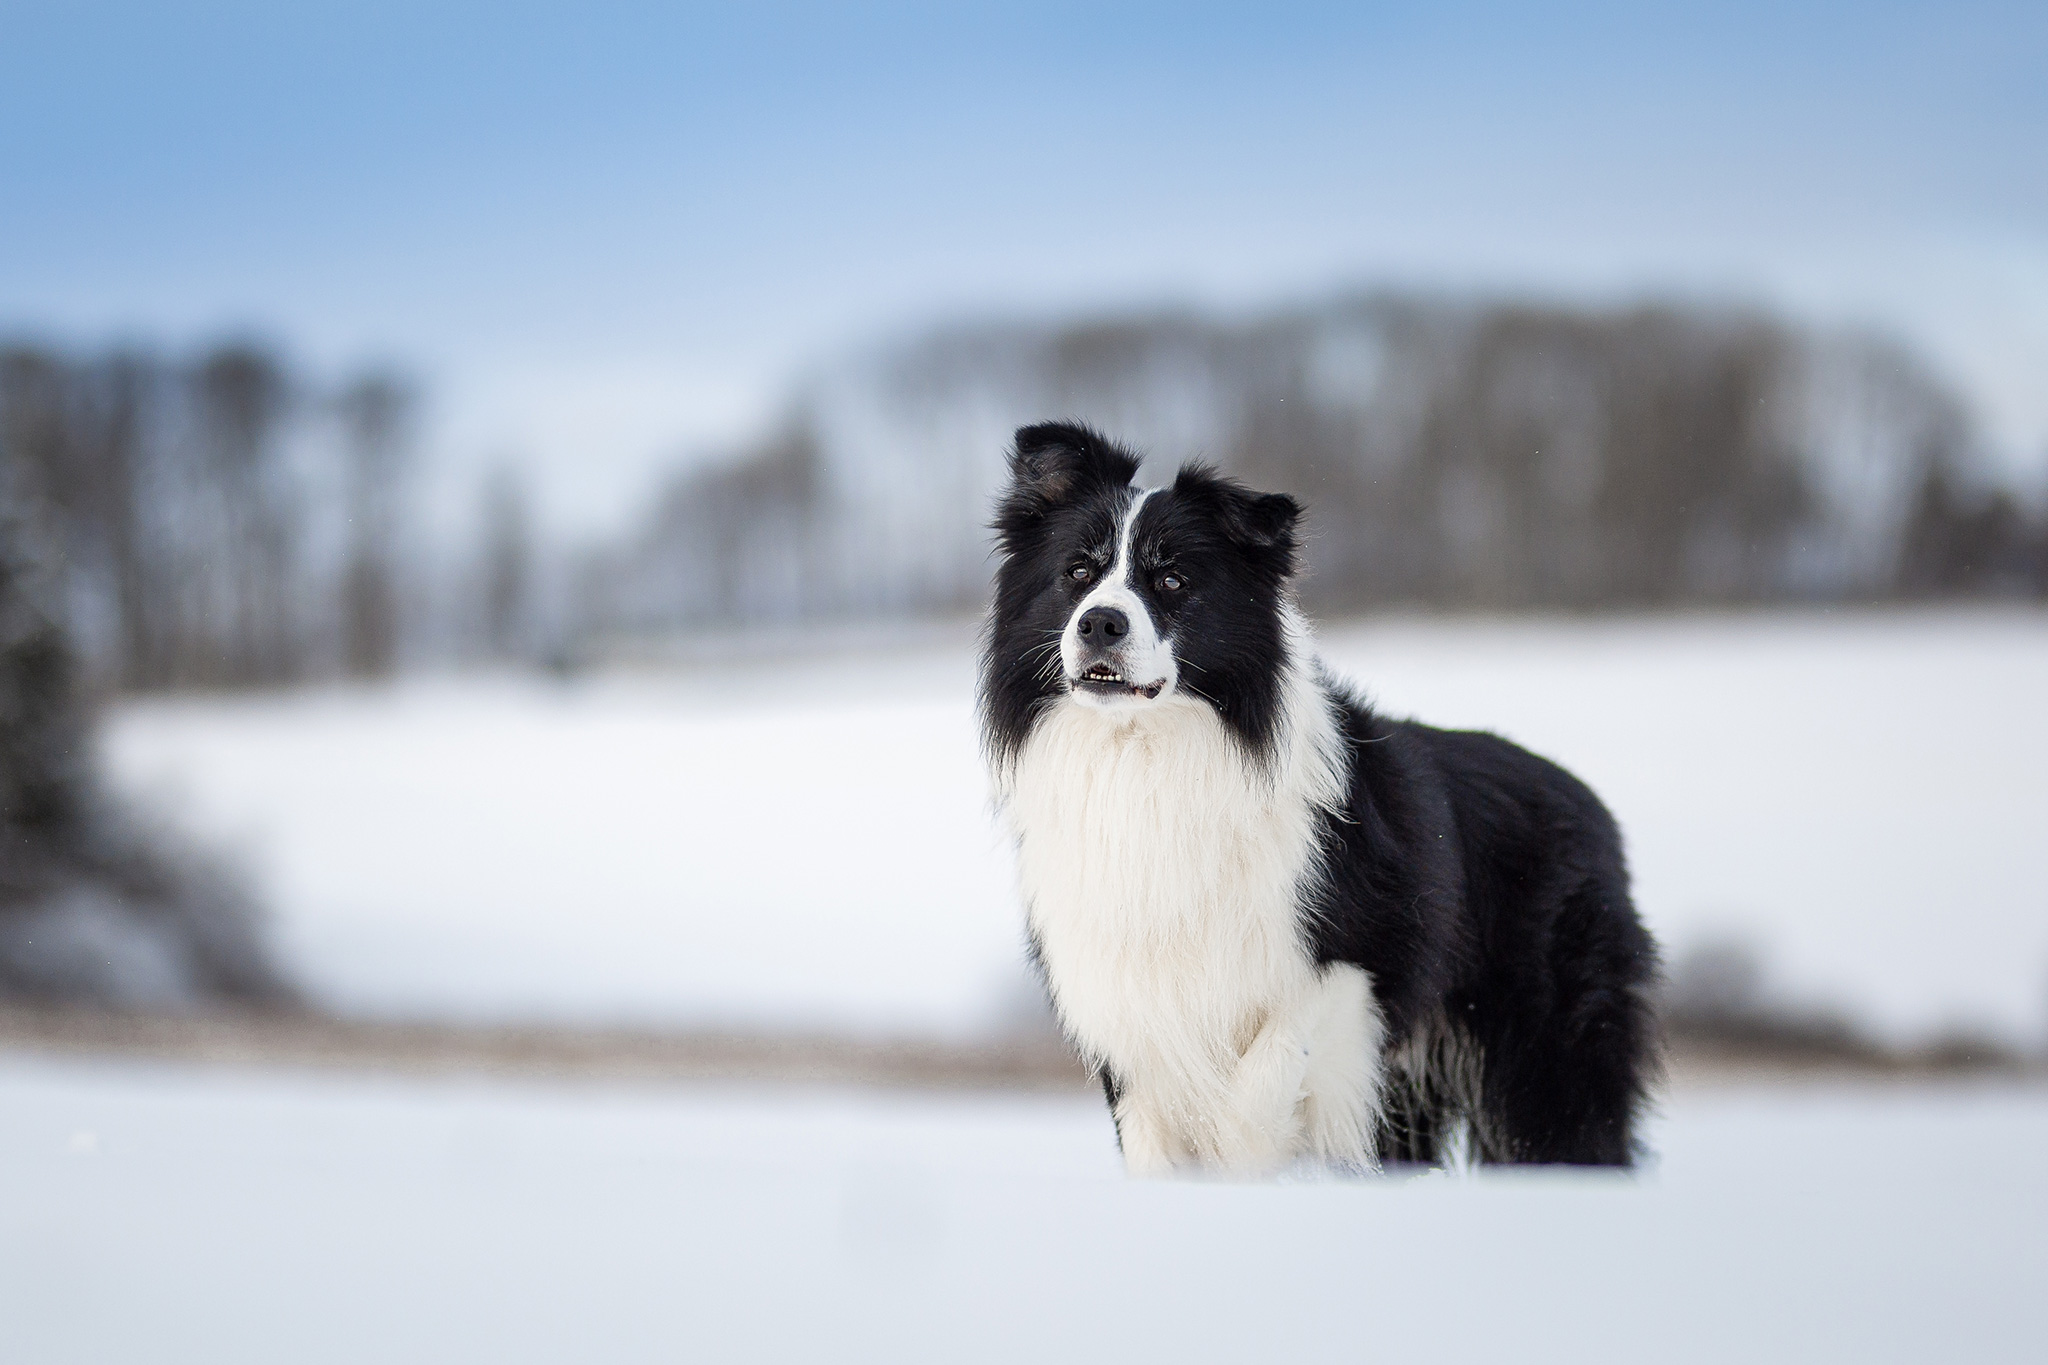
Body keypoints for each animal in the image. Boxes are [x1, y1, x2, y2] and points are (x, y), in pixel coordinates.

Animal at [978, 423, 1662, 1178]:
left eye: (1172, 581)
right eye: (1077, 572)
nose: (1099, 622)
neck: (1146, 753)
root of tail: (1593, 806)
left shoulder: (1359, 968)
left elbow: (1261, 1085)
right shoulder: (1124, 994)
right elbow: (1157, 1134)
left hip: (1547, 1055)